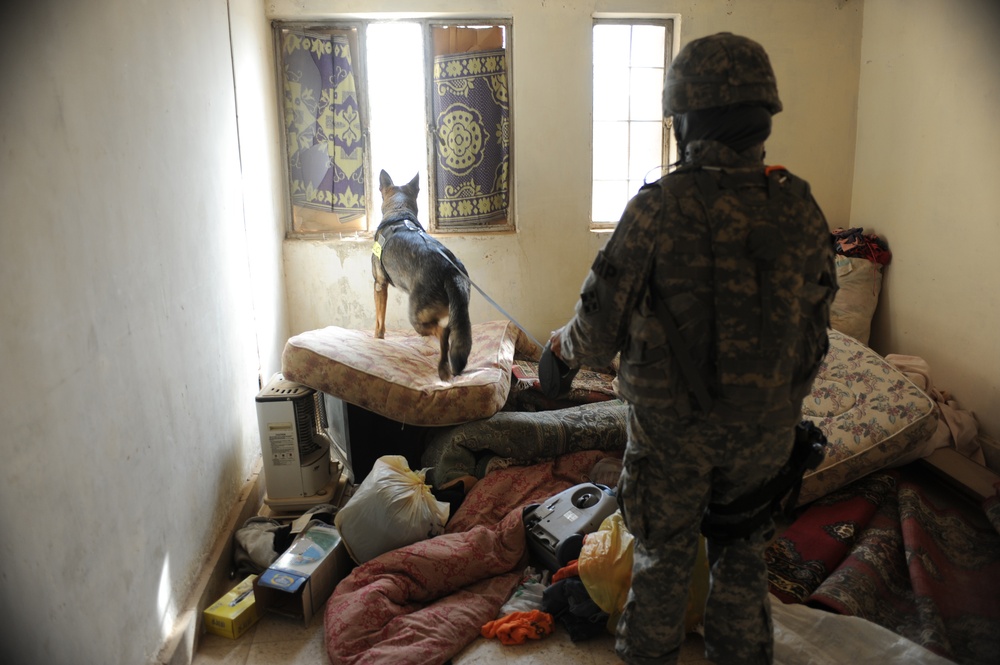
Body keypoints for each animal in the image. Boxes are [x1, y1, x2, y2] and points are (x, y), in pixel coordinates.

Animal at [372, 169, 472, 382]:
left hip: (416, 317)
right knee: (450, 333)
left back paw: (442, 369)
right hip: (455, 312)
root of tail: (451, 270)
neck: (399, 212)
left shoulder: (379, 285)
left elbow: (379, 320)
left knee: (443, 332)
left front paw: (377, 338)